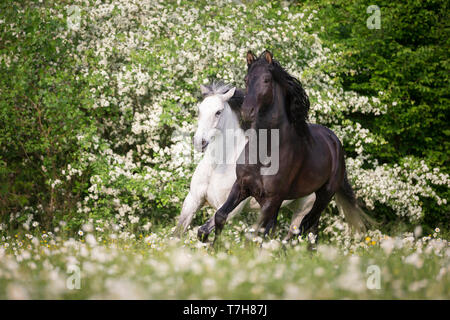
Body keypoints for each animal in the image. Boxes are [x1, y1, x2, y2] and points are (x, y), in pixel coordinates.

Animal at [174, 82, 314, 240]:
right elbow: (177, 234)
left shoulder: (231, 209)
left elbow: (203, 230)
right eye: (199, 110)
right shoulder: (192, 201)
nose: (200, 142)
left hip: (303, 210)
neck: (218, 166)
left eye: (218, 112)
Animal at [199, 50, 374, 245]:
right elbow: (221, 216)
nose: (247, 111)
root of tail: (334, 141)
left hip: (321, 197)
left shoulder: (272, 199)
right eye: (246, 79)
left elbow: (256, 233)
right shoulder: (242, 187)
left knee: (302, 228)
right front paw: (213, 247)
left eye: (266, 79)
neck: (266, 150)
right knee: (307, 231)